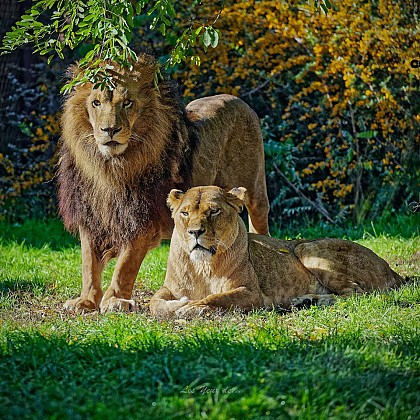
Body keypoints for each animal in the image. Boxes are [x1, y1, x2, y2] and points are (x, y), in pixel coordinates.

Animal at [59, 53, 270, 312]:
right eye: (96, 103)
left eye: (127, 103)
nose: (110, 130)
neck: (110, 168)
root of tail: (239, 100)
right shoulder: (90, 215)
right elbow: (88, 265)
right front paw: (86, 300)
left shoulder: (142, 219)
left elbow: (125, 265)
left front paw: (115, 299)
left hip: (255, 190)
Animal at [150, 185, 404, 316]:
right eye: (185, 213)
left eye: (214, 211)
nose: (195, 232)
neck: (202, 266)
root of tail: (392, 270)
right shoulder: (169, 288)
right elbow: (154, 303)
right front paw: (176, 305)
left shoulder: (250, 293)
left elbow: (217, 297)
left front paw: (191, 307)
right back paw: (302, 301)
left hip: (307, 247)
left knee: (356, 293)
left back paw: (307, 301)